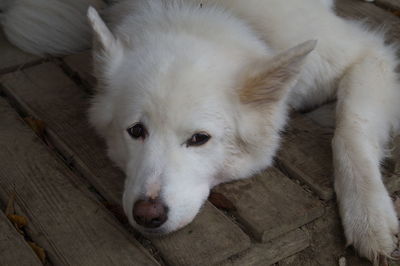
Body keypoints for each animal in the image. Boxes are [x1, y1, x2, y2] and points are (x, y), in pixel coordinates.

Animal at [1, 0, 398, 262]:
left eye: (199, 139)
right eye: (136, 130)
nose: (147, 215)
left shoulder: (370, 55)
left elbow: (350, 128)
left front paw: (369, 217)